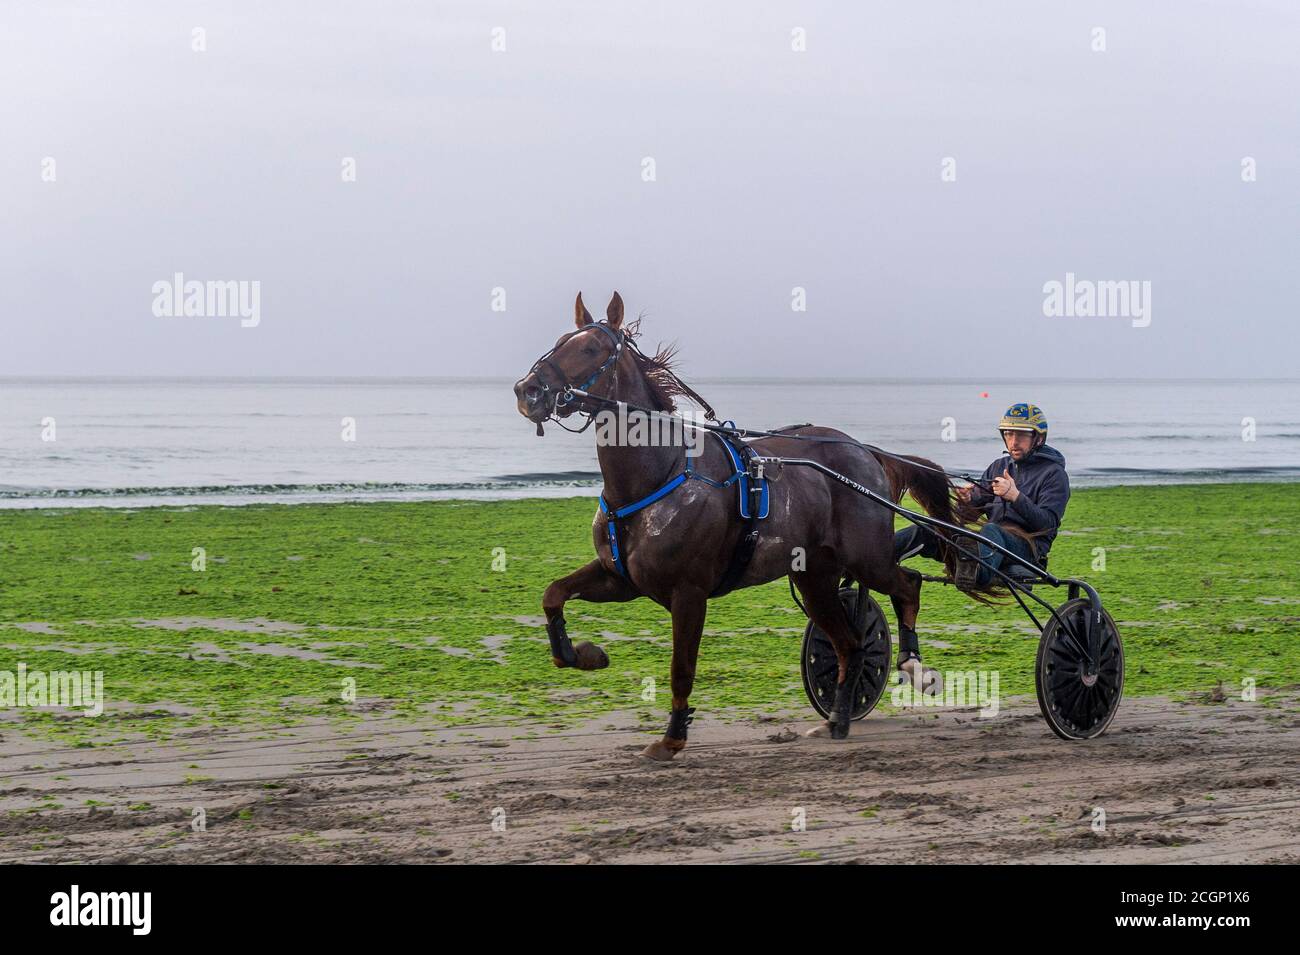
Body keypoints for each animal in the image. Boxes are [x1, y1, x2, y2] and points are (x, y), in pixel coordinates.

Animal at [512, 291, 977, 764]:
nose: (527, 390)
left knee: (907, 584)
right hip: (815, 577)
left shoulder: (689, 592)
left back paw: (913, 665)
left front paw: (672, 738)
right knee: (850, 643)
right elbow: (553, 594)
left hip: (867, 558)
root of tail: (865, 451)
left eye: (589, 348)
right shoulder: (621, 578)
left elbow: (682, 667)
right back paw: (838, 719)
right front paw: (584, 654)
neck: (659, 473)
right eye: (560, 341)